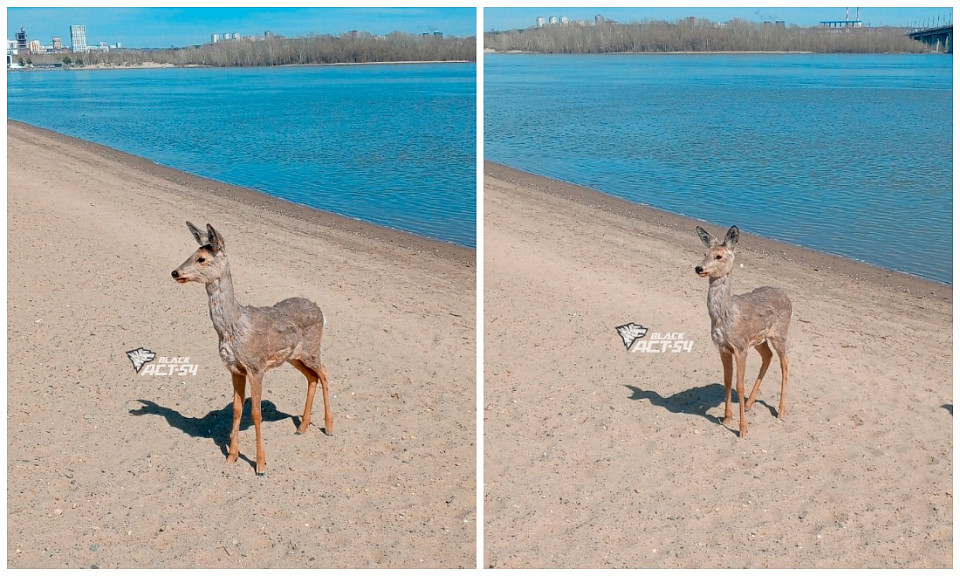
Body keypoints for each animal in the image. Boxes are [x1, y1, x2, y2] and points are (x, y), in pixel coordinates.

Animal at [172, 223, 334, 474]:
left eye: (201, 258)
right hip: (294, 357)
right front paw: (231, 457)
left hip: (312, 348)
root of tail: (321, 311)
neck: (234, 328)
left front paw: (260, 464)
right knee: (312, 377)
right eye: (192, 253)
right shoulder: (235, 369)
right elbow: (237, 409)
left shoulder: (256, 367)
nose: (175, 273)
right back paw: (302, 427)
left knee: (325, 373)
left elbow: (256, 413)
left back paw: (329, 427)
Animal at [692, 225, 792, 436]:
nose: (699, 268)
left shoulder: (740, 347)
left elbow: (739, 385)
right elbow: (727, 381)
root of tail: (787, 297)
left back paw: (780, 411)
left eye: (719, 256)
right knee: (768, 356)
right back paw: (748, 404)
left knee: (785, 363)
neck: (726, 317)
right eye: (705, 253)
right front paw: (727, 418)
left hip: (780, 334)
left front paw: (743, 430)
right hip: (760, 340)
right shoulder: (723, 347)